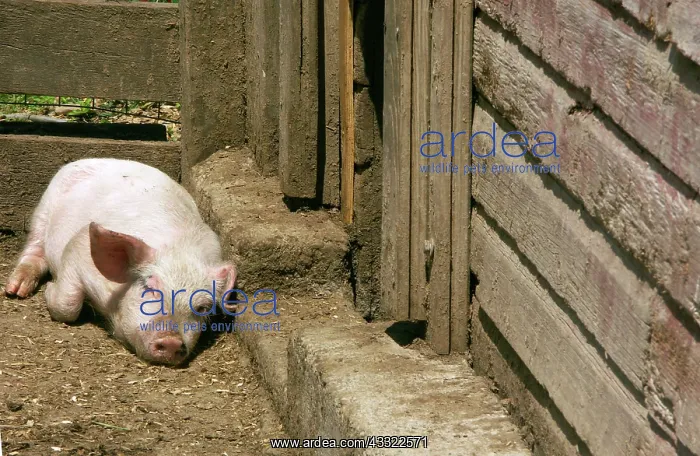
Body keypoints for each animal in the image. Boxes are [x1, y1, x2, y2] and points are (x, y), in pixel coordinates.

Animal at [3, 158, 237, 366]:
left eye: (203, 307)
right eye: (149, 288)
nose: (171, 341)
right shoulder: (78, 249)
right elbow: (68, 305)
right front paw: (50, 290)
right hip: (45, 208)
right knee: (34, 248)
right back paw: (15, 290)